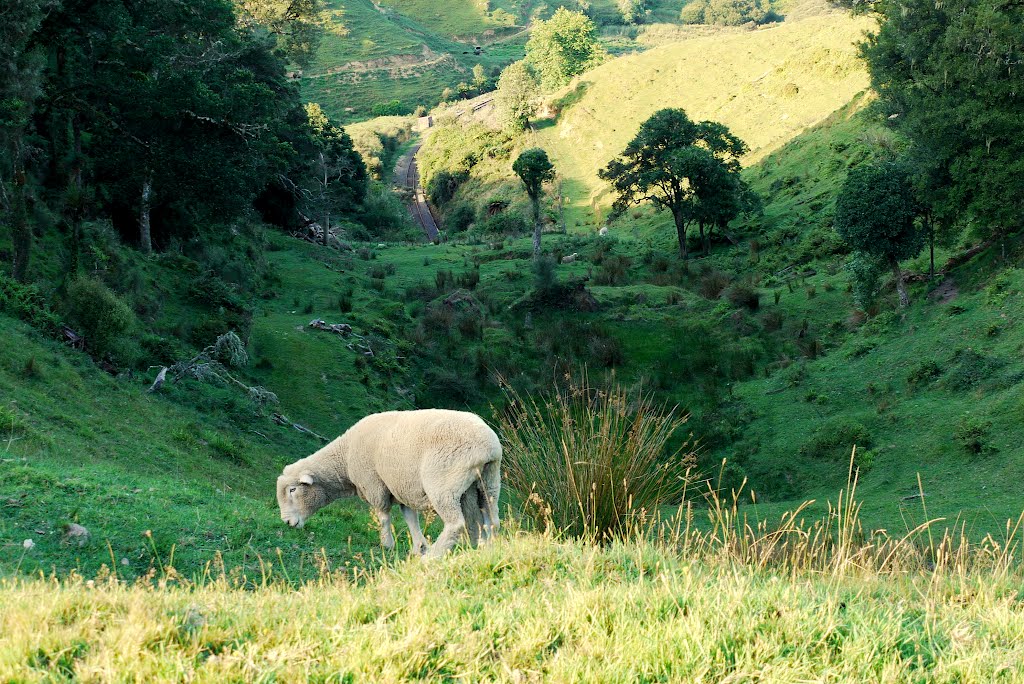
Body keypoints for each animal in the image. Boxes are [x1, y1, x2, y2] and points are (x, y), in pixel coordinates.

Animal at [274, 409, 501, 557]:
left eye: (293, 490)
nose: (287, 522)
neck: (344, 458)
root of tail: (488, 446)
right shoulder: (400, 486)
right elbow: (410, 518)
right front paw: (418, 547)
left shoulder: (375, 484)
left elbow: (383, 517)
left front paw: (388, 545)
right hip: (488, 482)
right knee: (491, 519)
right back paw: (487, 548)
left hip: (443, 483)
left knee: (456, 523)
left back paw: (434, 556)